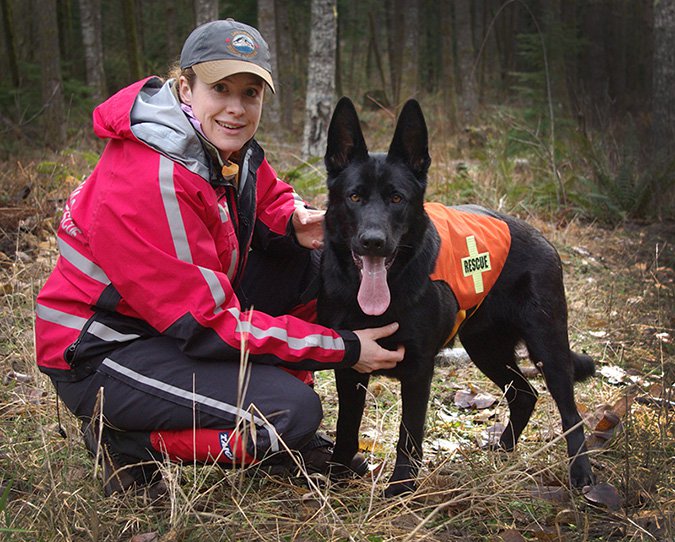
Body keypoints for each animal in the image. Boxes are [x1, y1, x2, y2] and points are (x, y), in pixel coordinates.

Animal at [318, 96, 596, 498]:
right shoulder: (351, 362)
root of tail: (542, 238)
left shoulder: (419, 369)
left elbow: (409, 434)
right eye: (354, 196)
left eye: (397, 198)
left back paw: (581, 475)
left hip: (548, 346)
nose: (373, 242)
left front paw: (401, 489)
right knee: (524, 393)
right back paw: (504, 449)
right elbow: (346, 425)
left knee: (570, 411)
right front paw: (337, 476)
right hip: (485, 347)